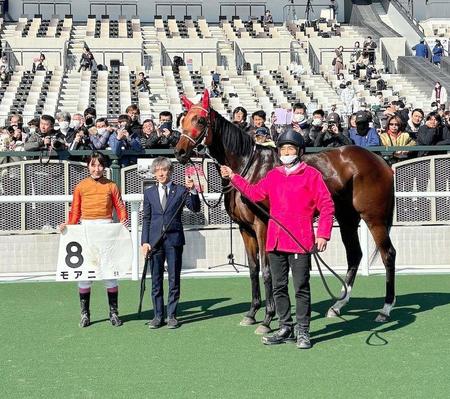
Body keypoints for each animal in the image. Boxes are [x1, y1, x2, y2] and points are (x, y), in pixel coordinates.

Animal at [176, 91, 398, 334]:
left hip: (374, 219)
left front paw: (267, 319)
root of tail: (380, 161)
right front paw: (251, 314)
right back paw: (337, 305)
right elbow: (253, 269)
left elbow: (266, 270)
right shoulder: (245, 229)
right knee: (354, 255)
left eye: (200, 120)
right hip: (347, 217)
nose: (179, 152)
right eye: (182, 120)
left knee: (388, 254)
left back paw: (385, 309)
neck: (249, 168)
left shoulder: (262, 226)